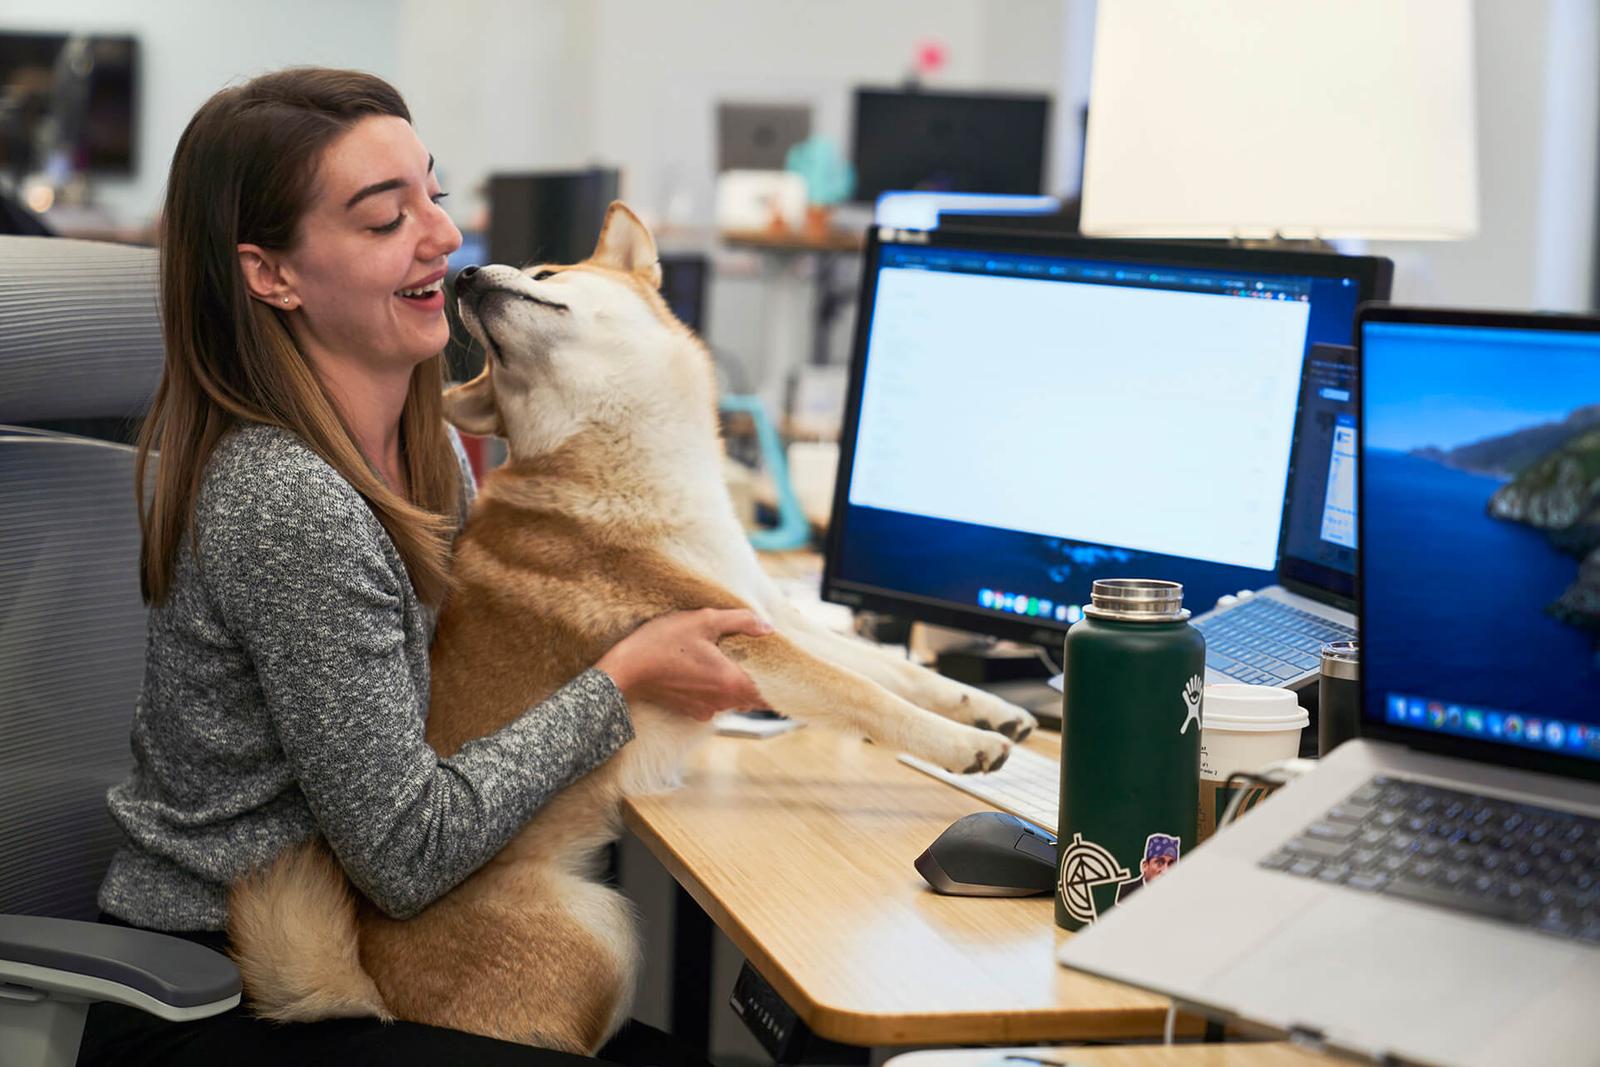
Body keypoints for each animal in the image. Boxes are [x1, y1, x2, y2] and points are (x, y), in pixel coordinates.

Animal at [232, 204, 1043, 1055]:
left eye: (547, 274)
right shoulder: (739, 638)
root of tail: (371, 987)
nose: (464, 275)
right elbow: (866, 695)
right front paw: (966, 748)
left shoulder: (764, 607)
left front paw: (995, 712)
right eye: (489, 342)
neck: (633, 465)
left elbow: (898, 672)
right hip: (607, 932)